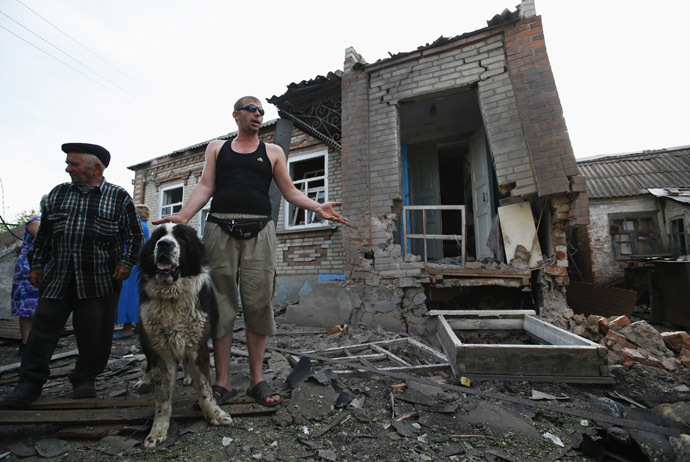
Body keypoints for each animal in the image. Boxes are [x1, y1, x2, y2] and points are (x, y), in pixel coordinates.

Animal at [136, 224, 231, 448]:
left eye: (182, 238)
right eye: (158, 236)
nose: (164, 244)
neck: (172, 297)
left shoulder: (198, 344)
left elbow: (205, 388)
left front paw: (214, 414)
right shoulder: (160, 349)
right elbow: (162, 398)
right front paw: (157, 432)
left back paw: (187, 376)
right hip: (146, 339)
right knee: (148, 362)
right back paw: (145, 379)